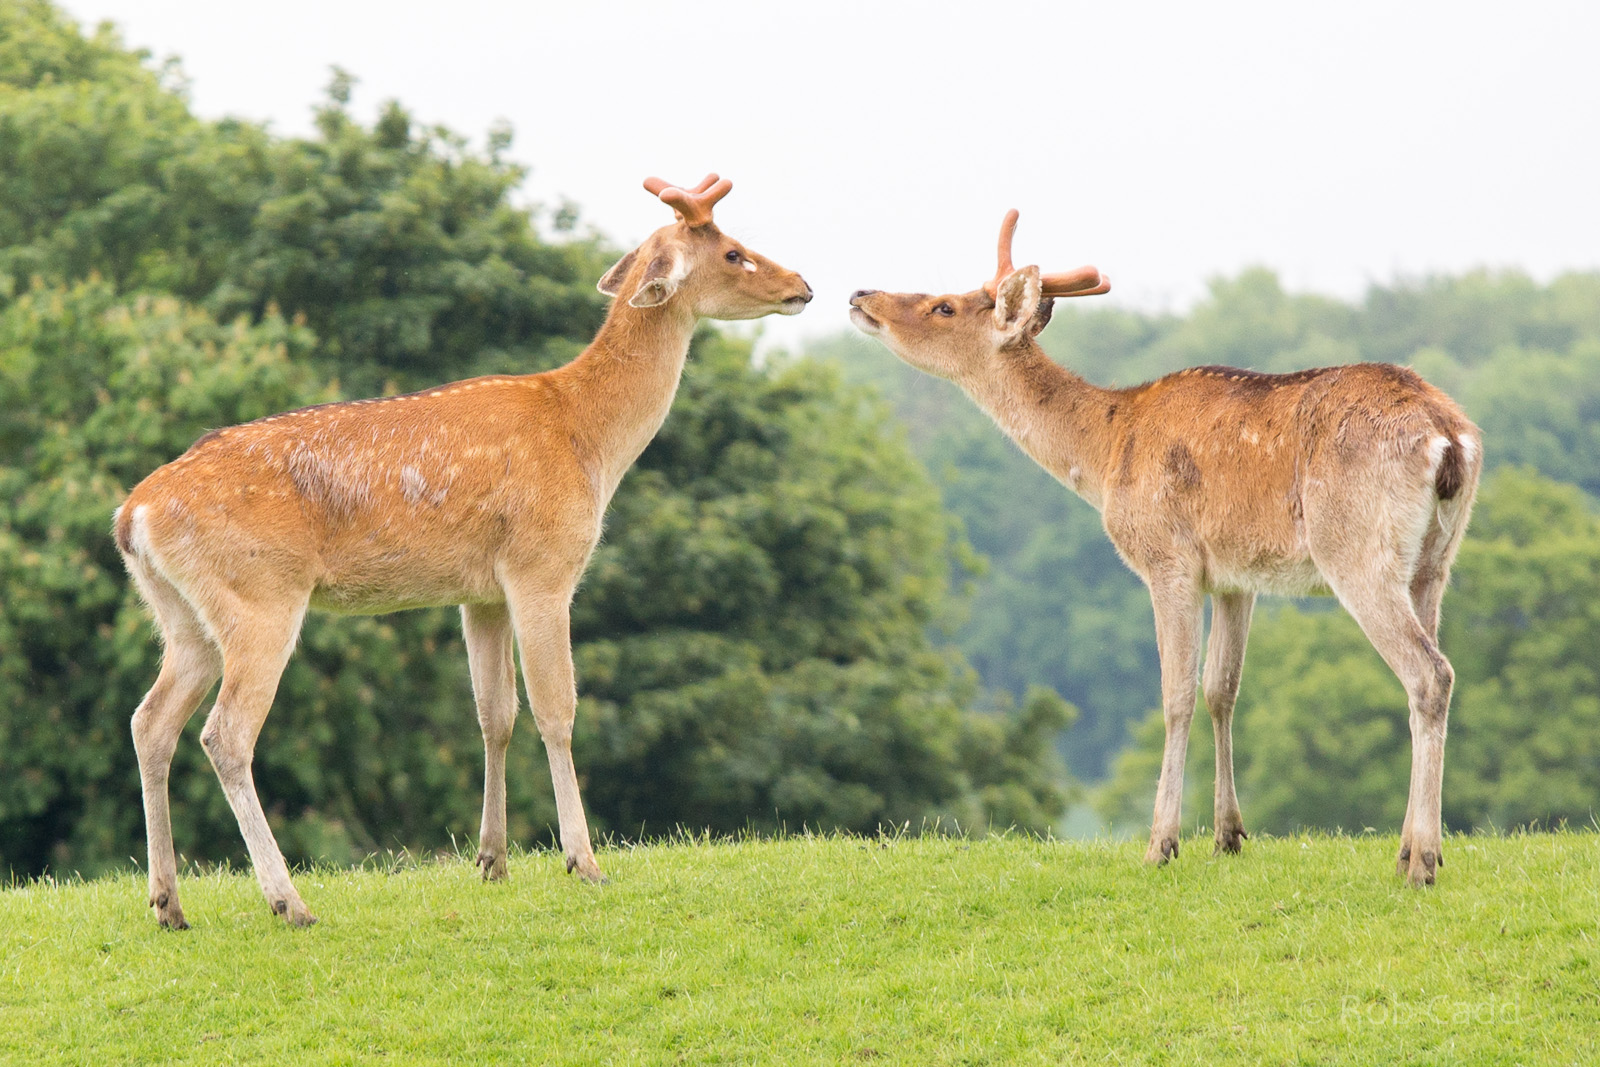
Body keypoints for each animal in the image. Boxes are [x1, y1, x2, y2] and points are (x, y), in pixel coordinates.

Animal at [113, 174, 812, 927]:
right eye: (733, 252)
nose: (802, 284)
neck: (590, 436)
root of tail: (133, 514)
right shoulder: (542, 566)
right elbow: (556, 709)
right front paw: (583, 860)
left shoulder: (481, 594)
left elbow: (494, 715)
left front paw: (492, 861)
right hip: (259, 596)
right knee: (226, 733)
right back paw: (287, 900)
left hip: (183, 615)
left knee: (151, 721)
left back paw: (169, 904)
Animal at [848, 210, 1480, 886]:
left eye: (943, 306)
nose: (861, 295)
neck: (1106, 451)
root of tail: (1450, 439)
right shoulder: (1235, 576)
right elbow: (1221, 689)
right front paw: (1228, 836)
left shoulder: (1167, 558)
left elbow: (1174, 694)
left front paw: (1161, 843)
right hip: (1435, 562)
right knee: (1426, 670)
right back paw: (1412, 849)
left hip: (1356, 550)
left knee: (1429, 673)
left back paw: (1422, 862)